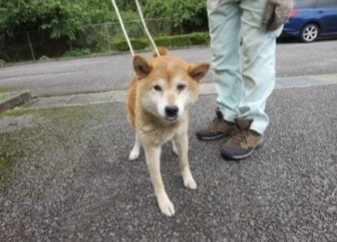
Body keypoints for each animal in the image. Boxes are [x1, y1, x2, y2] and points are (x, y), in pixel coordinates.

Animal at [126, 46, 209, 216]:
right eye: (157, 88)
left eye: (181, 87)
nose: (171, 110)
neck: (164, 124)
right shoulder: (151, 148)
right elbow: (158, 181)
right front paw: (164, 202)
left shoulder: (182, 135)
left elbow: (184, 162)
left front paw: (188, 179)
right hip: (133, 119)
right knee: (137, 136)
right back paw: (135, 150)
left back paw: (174, 147)